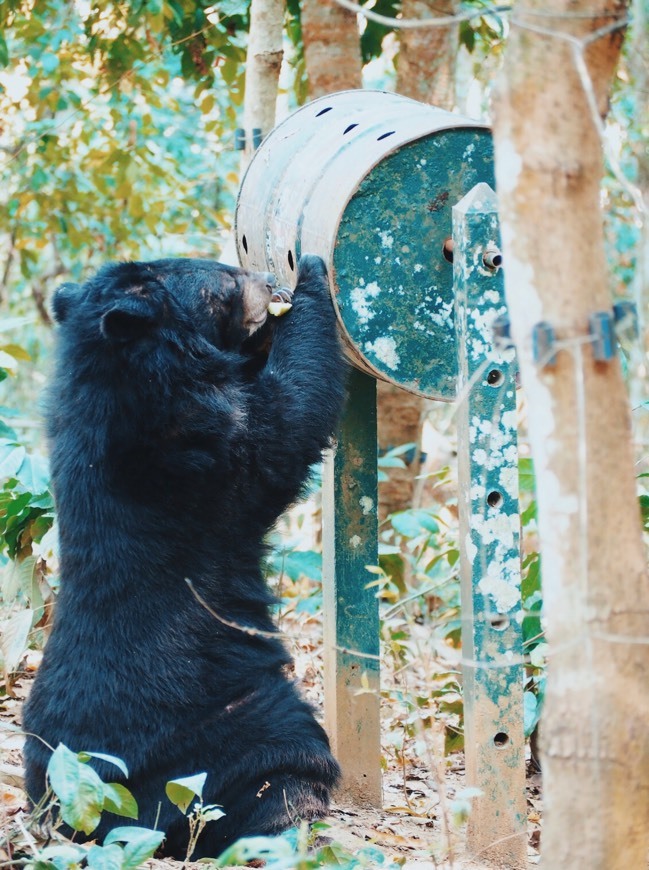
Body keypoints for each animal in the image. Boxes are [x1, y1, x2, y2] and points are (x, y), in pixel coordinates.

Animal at [22, 255, 346, 860]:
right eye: (224, 283)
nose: (268, 284)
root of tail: (95, 812)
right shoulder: (199, 436)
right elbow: (287, 418)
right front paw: (313, 280)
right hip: (235, 729)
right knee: (281, 772)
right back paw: (293, 828)